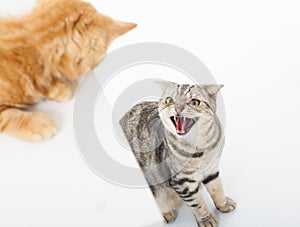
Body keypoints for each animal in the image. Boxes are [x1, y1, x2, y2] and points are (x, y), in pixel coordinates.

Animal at [120, 80, 237, 226]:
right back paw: (168, 213)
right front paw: (206, 219)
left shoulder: (211, 169)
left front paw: (223, 204)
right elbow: (197, 203)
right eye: (170, 100)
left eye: (194, 102)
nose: (178, 109)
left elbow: (217, 188)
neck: (202, 147)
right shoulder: (181, 181)